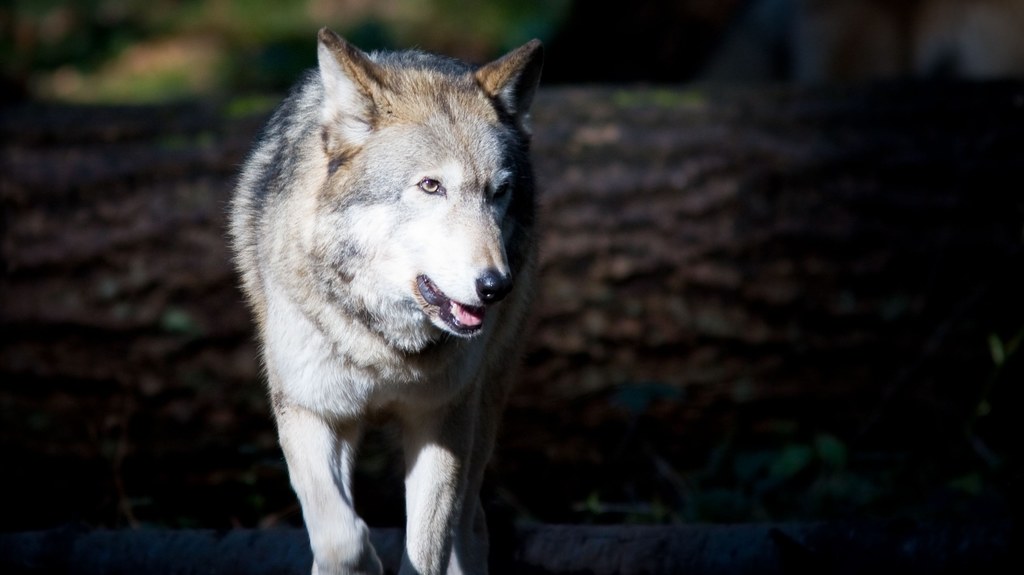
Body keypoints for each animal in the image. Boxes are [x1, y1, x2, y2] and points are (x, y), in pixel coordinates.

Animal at [226, 29, 544, 572]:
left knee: (470, 525)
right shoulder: (310, 411)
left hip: (479, 414)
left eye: (498, 192)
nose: (495, 286)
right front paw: (358, 561)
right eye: (431, 186)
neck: (384, 348)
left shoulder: (439, 422)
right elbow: (340, 538)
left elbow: (425, 549)